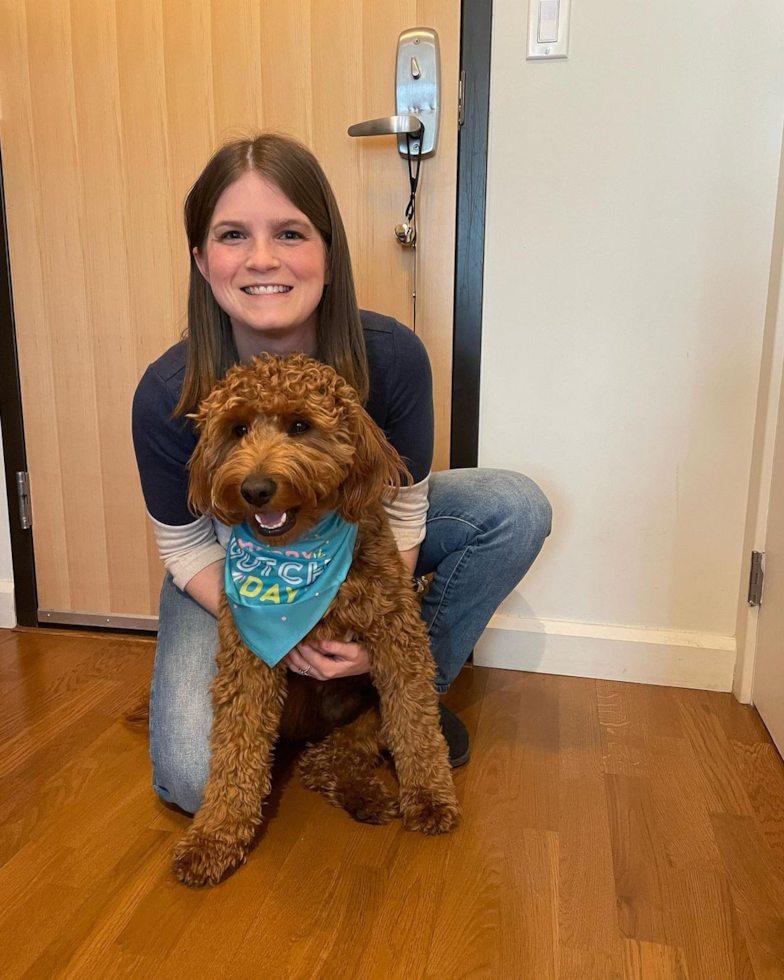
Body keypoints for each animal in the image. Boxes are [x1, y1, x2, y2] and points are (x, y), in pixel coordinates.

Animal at [172, 354, 460, 888]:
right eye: (238, 429)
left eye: (301, 426)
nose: (255, 489)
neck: (297, 555)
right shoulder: (247, 661)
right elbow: (234, 755)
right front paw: (213, 837)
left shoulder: (399, 640)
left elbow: (417, 726)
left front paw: (431, 798)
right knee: (315, 759)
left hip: (366, 718)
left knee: (332, 755)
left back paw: (366, 795)